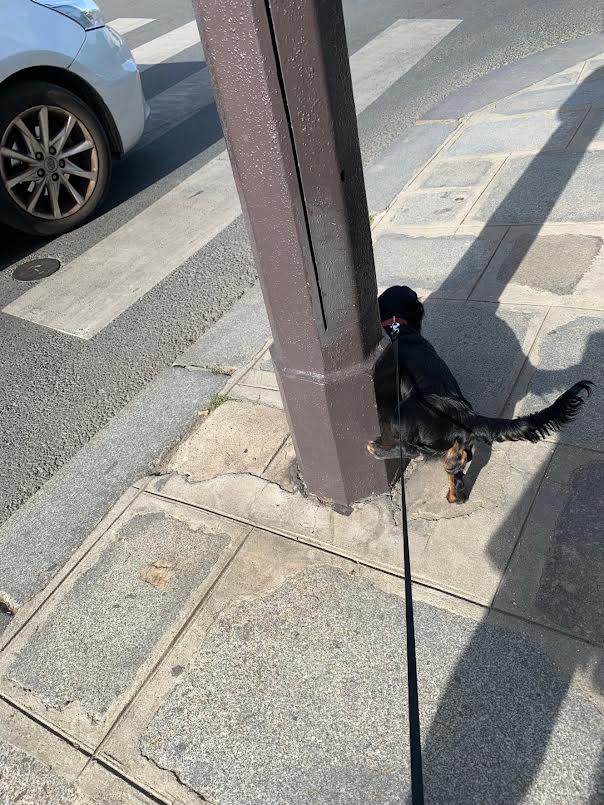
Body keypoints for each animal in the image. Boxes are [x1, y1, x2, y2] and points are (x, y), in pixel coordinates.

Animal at [366, 286, 592, 502]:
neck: (400, 330)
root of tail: (465, 416)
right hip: (455, 449)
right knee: (457, 476)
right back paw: (454, 494)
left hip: (403, 412)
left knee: (412, 450)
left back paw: (376, 449)